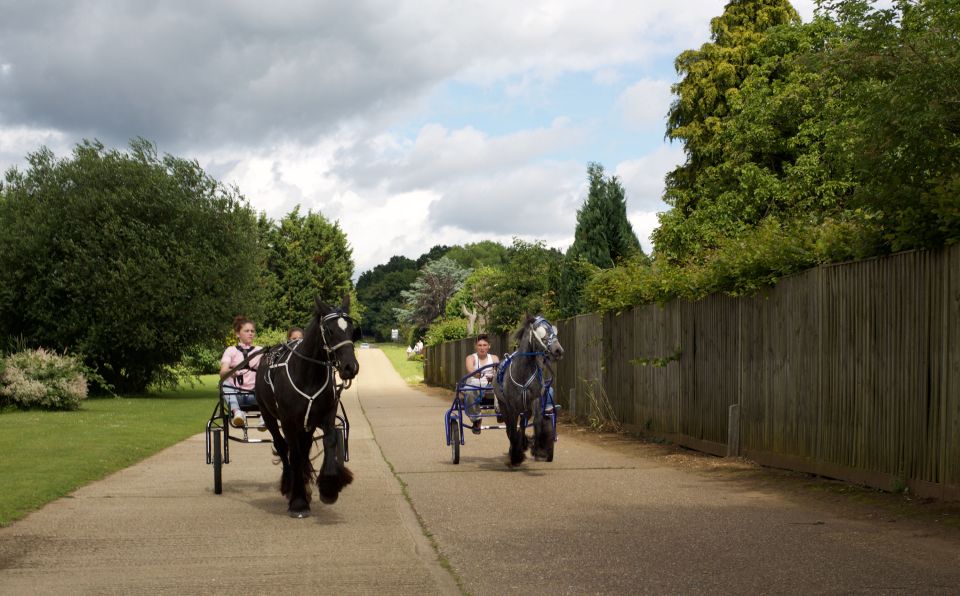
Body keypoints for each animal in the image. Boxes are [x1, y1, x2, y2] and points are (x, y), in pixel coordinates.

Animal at [255, 298, 360, 516]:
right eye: (329, 330)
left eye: (351, 329)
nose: (350, 367)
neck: (308, 375)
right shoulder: (288, 422)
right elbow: (293, 453)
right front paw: (298, 501)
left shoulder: (324, 416)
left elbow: (329, 441)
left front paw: (328, 487)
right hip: (268, 414)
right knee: (282, 445)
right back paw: (290, 486)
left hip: (307, 425)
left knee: (304, 448)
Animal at [496, 314, 564, 468]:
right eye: (542, 331)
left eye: (554, 329)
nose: (558, 350)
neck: (522, 373)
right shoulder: (511, 406)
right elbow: (511, 430)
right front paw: (515, 456)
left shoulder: (535, 400)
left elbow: (537, 423)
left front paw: (539, 449)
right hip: (504, 406)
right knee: (510, 429)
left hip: (525, 409)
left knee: (522, 425)